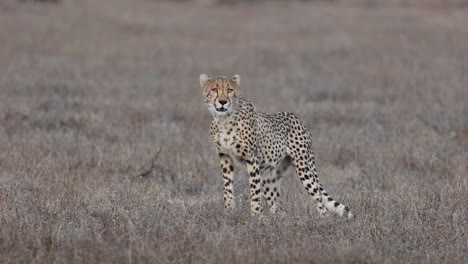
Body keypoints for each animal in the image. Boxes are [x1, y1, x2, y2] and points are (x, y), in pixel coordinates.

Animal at [199, 73, 352, 219]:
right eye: (214, 89)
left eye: (230, 90)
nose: (223, 102)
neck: (224, 119)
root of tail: (298, 119)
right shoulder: (225, 156)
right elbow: (227, 187)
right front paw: (229, 212)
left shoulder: (251, 158)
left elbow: (255, 190)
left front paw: (256, 216)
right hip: (269, 175)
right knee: (277, 203)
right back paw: (278, 219)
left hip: (303, 168)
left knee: (319, 199)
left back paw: (323, 220)